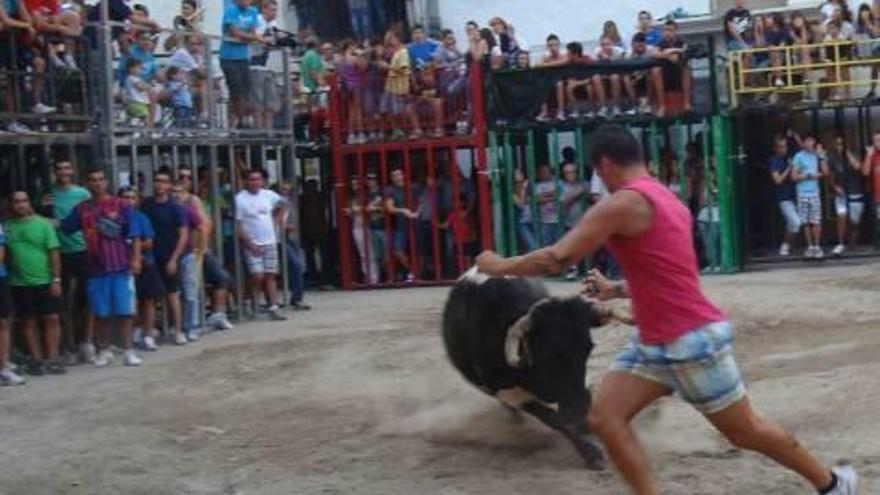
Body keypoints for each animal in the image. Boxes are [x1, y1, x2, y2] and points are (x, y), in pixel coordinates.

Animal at [440, 270, 624, 470]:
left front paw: (588, 427)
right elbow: (554, 419)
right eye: (546, 353)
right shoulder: (510, 393)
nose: (577, 410)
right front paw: (591, 453)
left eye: (588, 347)